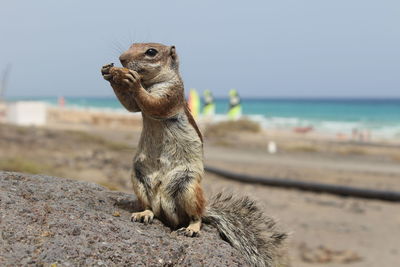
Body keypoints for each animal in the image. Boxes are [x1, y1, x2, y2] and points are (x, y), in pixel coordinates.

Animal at [101, 43, 286, 266]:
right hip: (139, 179)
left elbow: (154, 104)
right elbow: (130, 105)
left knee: (196, 217)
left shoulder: (172, 94)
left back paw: (192, 228)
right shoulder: (139, 105)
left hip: (188, 186)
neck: (151, 83)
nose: (121, 59)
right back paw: (144, 214)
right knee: (151, 208)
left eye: (151, 52)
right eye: (131, 45)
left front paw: (133, 82)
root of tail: (169, 215)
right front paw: (108, 72)